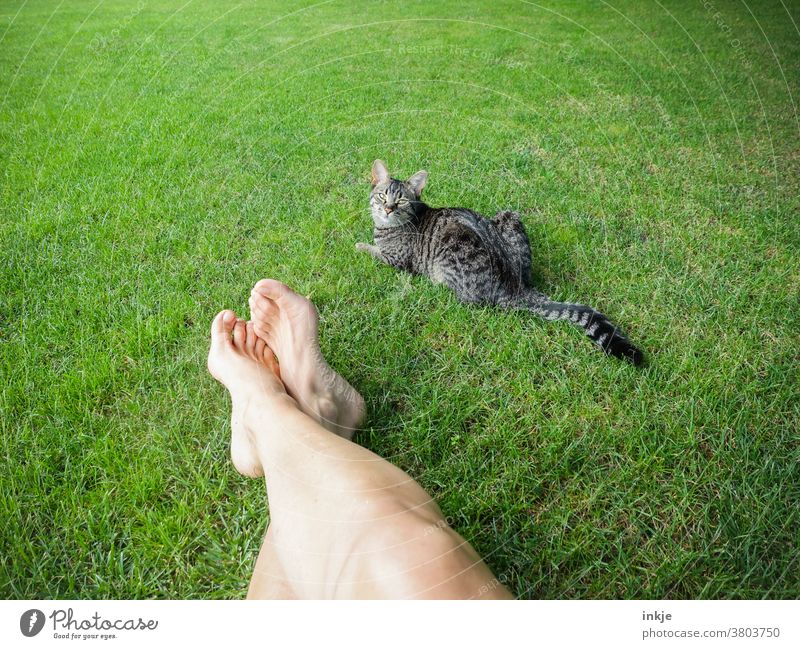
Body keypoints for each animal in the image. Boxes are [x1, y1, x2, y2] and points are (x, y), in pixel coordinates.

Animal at [356, 159, 644, 364]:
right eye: (382, 195)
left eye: (402, 200)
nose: (388, 208)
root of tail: (516, 287)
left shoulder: (396, 260)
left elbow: (373, 250)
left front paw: (360, 245)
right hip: (507, 216)